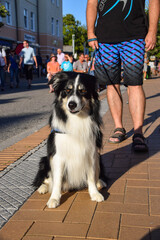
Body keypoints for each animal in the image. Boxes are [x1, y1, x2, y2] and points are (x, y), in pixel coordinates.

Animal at [33, 71, 106, 208]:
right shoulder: (58, 156)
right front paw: (54, 199)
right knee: (45, 179)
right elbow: (57, 180)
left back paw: (100, 182)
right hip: (44, 161)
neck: (77, 119)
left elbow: (91, 176)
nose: (71, 104)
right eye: (67, 90)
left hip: (99, 157)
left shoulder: (91, 153)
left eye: (83, 91)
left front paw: (94, 193)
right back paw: (42, 188)